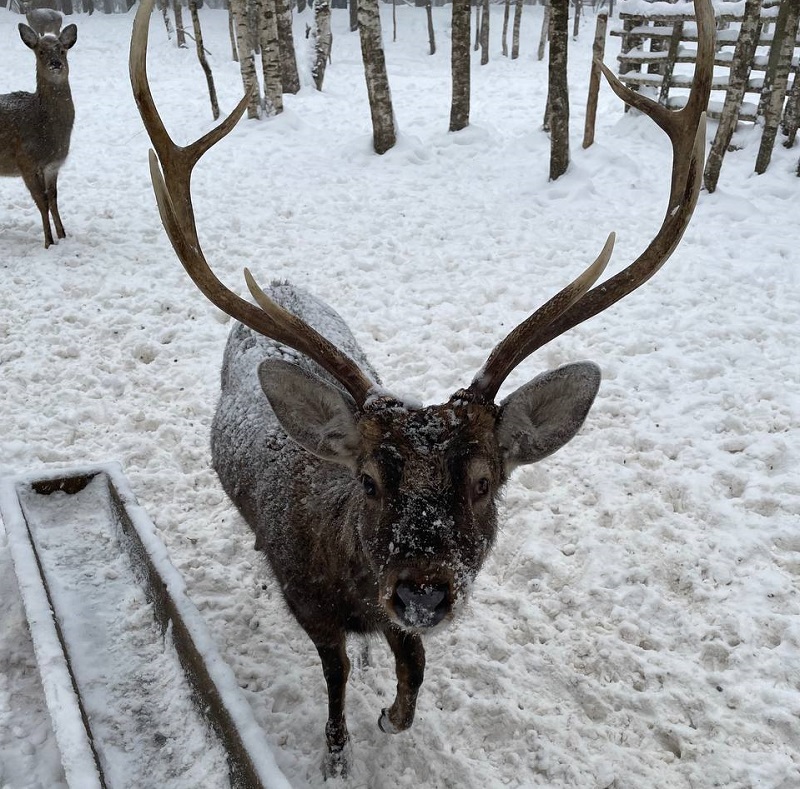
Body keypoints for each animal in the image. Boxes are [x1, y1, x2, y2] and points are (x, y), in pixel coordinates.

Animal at [0, 23, 76, 246]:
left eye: (62, 50)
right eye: (41, 51)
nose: (55, 64)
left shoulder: (52, 166)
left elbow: (53, 198)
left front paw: (62, 235)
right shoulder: (26, 162)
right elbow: (41, 201)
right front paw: (48, 241)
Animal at [131, 0, 712, 776]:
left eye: (485, 481)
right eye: (370, 480)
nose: (424, 591)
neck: (353, 587)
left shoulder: (393, 616)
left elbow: (416, 670)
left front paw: (391, 713)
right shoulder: (312, 604)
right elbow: (338, 674)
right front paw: (337, 752)